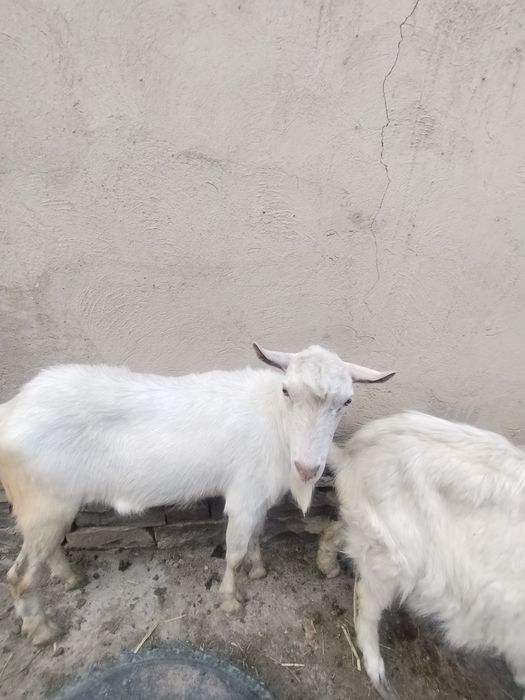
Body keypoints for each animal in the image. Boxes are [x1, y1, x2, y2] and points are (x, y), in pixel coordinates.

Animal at [0, 343, 394, 645]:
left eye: (346, 401)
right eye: (286, 391)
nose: (309, 469)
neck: (275, 422)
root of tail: (12, 411)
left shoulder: (257, 498)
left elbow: (257, 536)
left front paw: (259, 570)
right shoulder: (244, 498)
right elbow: (234, 552)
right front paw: (231, 600)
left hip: (50, 508)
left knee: (46, 550)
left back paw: (69, 579)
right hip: (45, 504)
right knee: (20, 576)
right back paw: (43, 631)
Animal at [317, 411, 525, 699]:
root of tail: (352, 455)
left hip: (369, 530)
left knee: (337, 532)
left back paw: (326, 565)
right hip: (395, 558)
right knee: (366, 605)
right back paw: (378, 674)